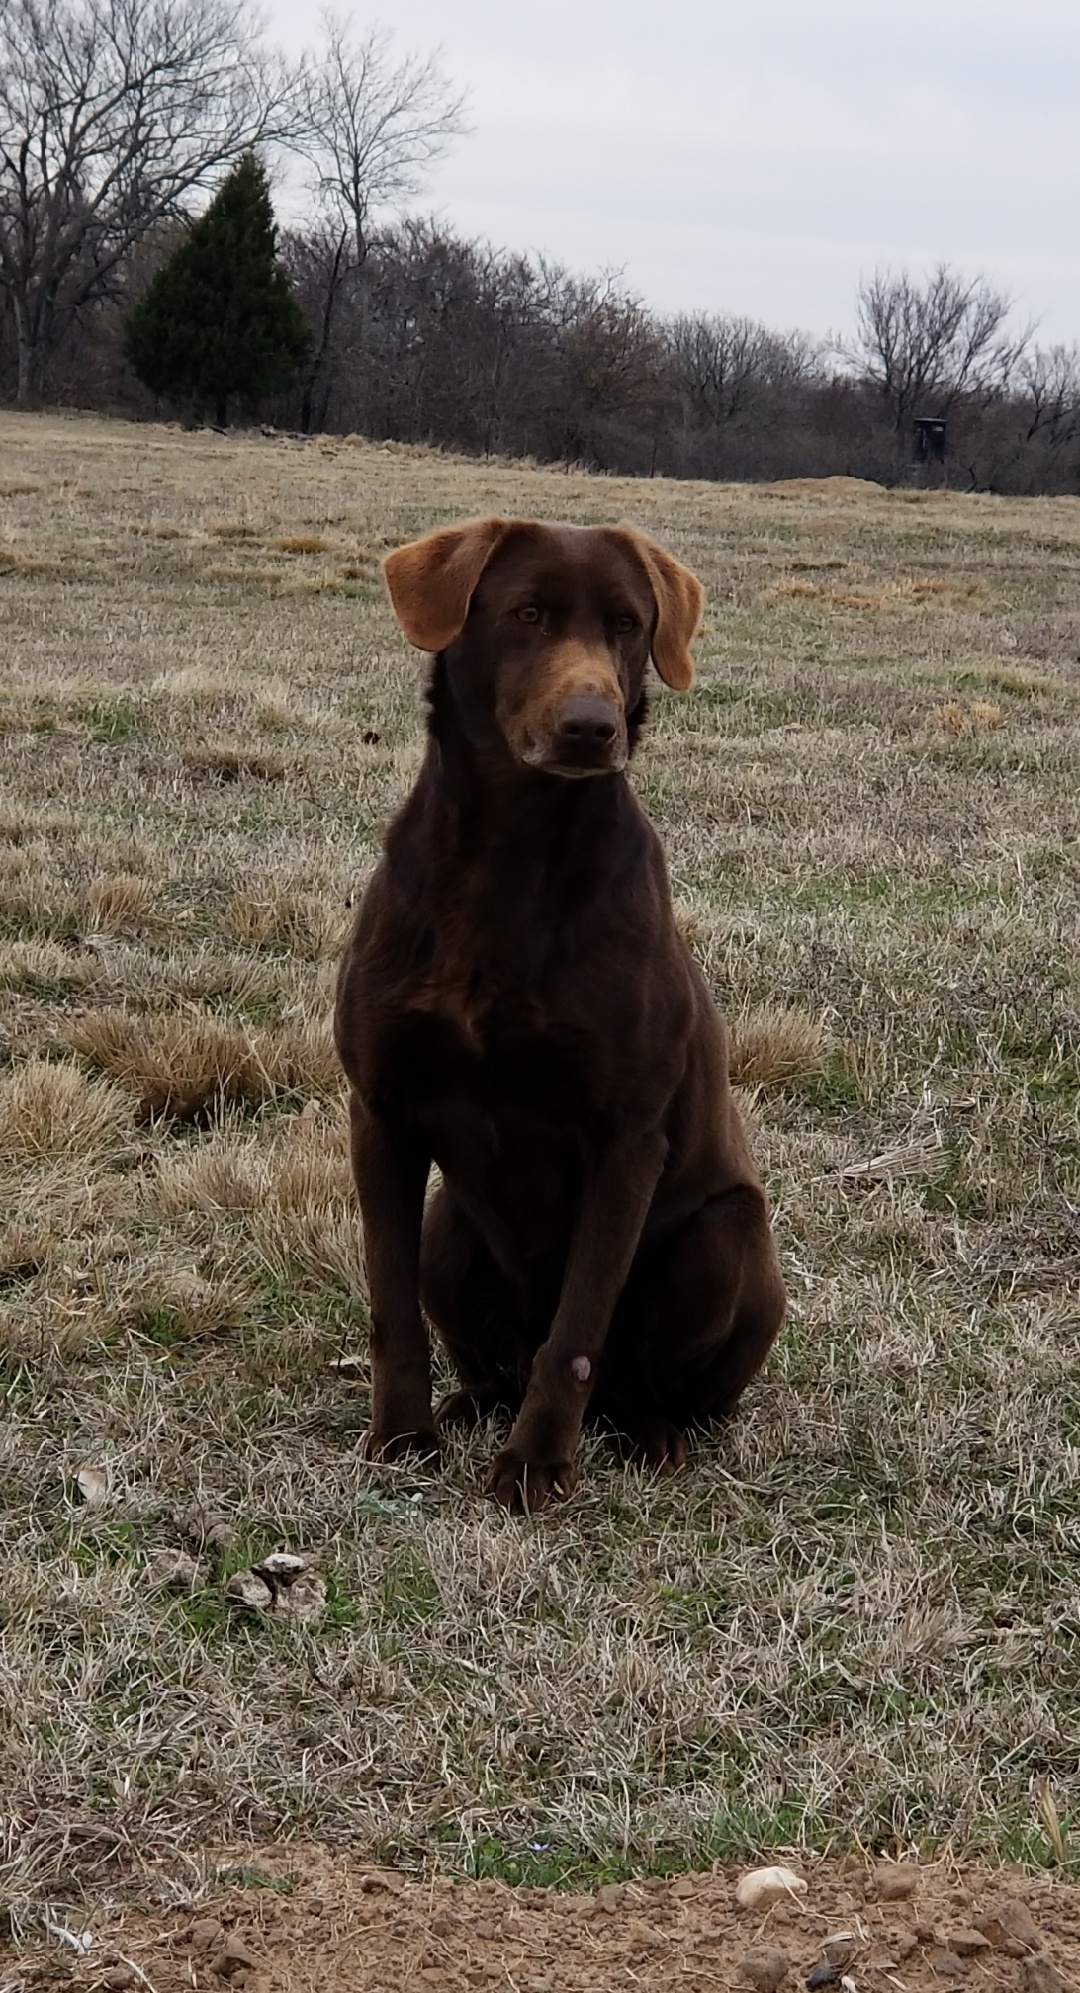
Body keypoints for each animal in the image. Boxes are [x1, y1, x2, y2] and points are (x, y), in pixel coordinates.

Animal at [332, 514, 789, 1506]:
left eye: (627, 624)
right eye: (527, 614)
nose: (592, 726)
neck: (508, 856)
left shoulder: (627, 1138)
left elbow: (576, 1331)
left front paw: (535, 1468)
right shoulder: (380, 1111)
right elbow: (391, 1306)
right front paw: (403, 1436)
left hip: (726, 1238)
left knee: (639, 1381)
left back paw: (648, 1433)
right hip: (449, 1231)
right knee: (493, 1355)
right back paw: (471, 1403)